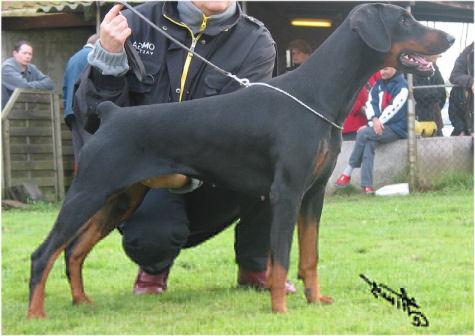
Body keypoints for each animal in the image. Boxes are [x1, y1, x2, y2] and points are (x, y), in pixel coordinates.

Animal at [27, 3, 456, 318]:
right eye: (404, 19)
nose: (451, 36)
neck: (317, 93)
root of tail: (112, 113)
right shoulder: (287, 192)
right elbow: (281, 257)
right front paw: (280, 309)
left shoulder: (313, 194)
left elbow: (310, 256)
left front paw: (315, 300)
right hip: (89, 191)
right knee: (43, 253)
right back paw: (36, 315)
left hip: (120, 199)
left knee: (73, 251)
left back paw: (82, 302)